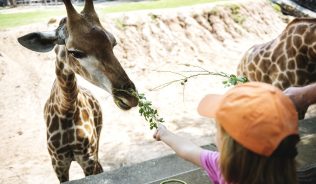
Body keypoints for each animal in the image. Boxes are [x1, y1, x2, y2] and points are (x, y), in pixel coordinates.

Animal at [17, 0, 138, 183]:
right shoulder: (58, 163)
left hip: (97, 142)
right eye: (75, 52)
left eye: (113, 43)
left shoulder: (87, 158)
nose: (130, 97)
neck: (66, 108)